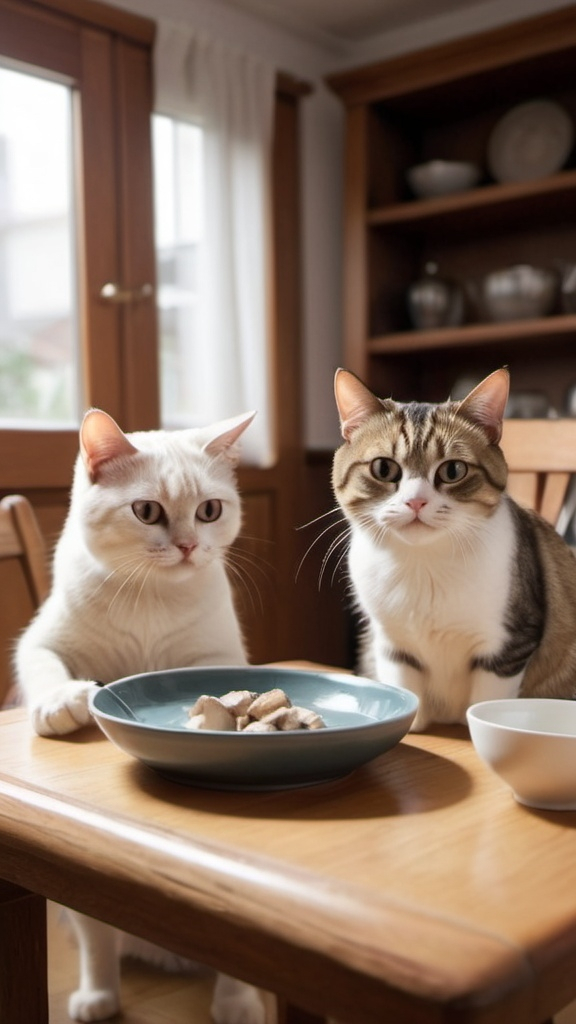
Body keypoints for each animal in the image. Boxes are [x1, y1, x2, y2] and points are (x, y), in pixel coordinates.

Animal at [15, 409, 262, 1024]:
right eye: (147, 511)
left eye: (210, 510)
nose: (188, 546)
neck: (151, 596)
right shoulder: (40, 638)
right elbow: (44, 666)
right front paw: (61, 705)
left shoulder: (219, 655)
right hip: (82, 907)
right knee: (98, 941)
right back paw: (97, 998)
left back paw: (238, 1002)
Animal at [330, 364, 573, 733]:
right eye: (384, 468)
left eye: (453, 470)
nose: (416, 501)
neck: (423, 565)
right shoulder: (391, 644)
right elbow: (405, 688)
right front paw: (412, 725)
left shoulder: (509, 644)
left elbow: (486, 700)